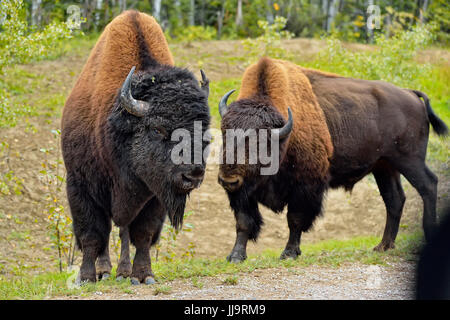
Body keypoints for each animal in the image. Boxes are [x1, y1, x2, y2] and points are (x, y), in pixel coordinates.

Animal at [60, 11, 212, 284]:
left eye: (203, 129)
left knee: (123, 230)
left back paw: (122, 272)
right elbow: (92, 234)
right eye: (158, 129)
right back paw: (105, 272)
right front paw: (86, 277)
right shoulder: (80, 186)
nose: (193, 174)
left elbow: (142, 234)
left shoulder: (155, 195)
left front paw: (143, 275)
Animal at [217, 57, 446, 262]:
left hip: (410, 160)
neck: (283, 134)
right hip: (385, 166)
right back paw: (383, 246)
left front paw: (289, 253)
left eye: (259, 141)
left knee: (428, 185)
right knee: (395, 199)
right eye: (224, 132)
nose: (228, 179)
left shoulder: (305, 187)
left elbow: (295, 220)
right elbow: (244, 222)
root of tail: (411, 94)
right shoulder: (242, 193)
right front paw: (235, 256)